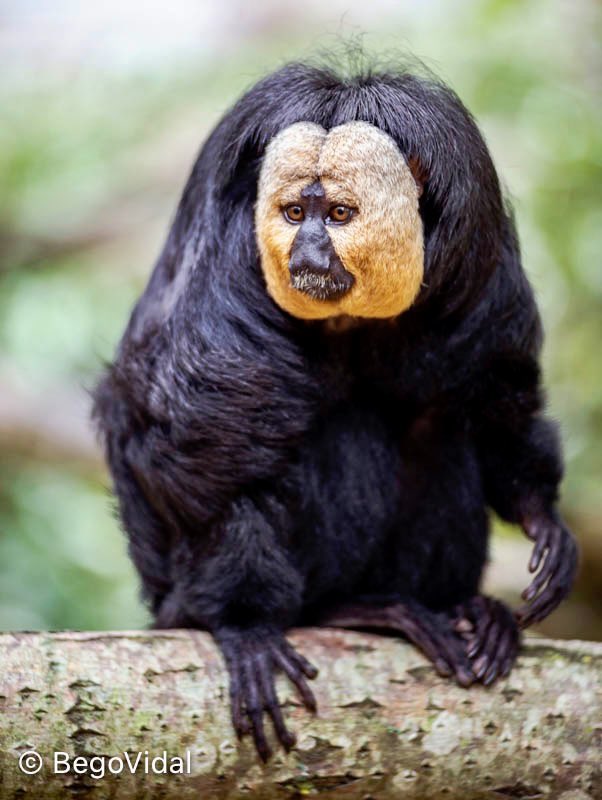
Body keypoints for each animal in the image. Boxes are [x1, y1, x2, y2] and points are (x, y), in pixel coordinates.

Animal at [93, 61, 578, 761]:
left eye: (340, 214)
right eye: (295, 212)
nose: (307, 253)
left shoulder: (479, 266)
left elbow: (496, 395)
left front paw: (544, 520)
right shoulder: (228, 269)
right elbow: (189, 443)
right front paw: (243, 625)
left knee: (435, 427)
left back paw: (462, 611)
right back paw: (345, 611)